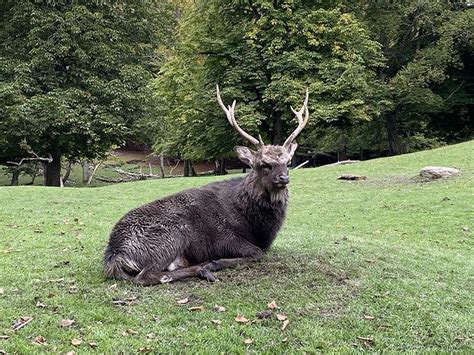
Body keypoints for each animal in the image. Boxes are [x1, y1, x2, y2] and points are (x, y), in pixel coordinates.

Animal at [103, 85, 310, 286]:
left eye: (288, 162)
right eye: (264, 164)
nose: (284, 178)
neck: (258, 227)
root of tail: (115, 254)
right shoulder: (223, 237)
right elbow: (257, 253)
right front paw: (215, 262)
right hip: (172, 234)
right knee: (146, 276)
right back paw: (204, 268)